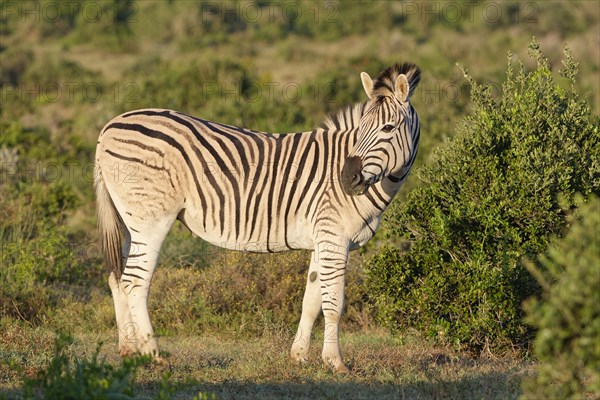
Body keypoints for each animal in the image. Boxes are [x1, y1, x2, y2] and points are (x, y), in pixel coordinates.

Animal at [95, 61, 422, 372]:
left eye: (388, 128)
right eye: (361, 129)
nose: (345, 179)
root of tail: (109, 126)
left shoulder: (323, 238)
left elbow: (310, 300)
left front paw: (299, 356)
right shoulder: (334, 238)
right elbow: (333, 303)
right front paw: (335, 361)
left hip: (130, 221)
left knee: (118, 278)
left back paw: (129, 350)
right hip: (151, 219)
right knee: (135, 282)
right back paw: (153, 355)